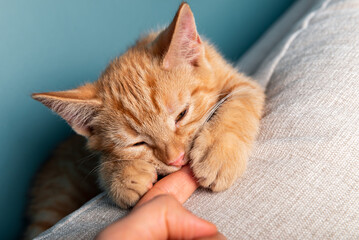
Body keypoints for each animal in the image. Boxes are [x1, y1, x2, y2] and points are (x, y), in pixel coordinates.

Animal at [26, 2, 264, 239]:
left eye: (182, 114)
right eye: (137, 143)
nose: (176, 159)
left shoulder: (243, 83)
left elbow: (238, 105)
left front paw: (218, 154)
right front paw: (121, 175)